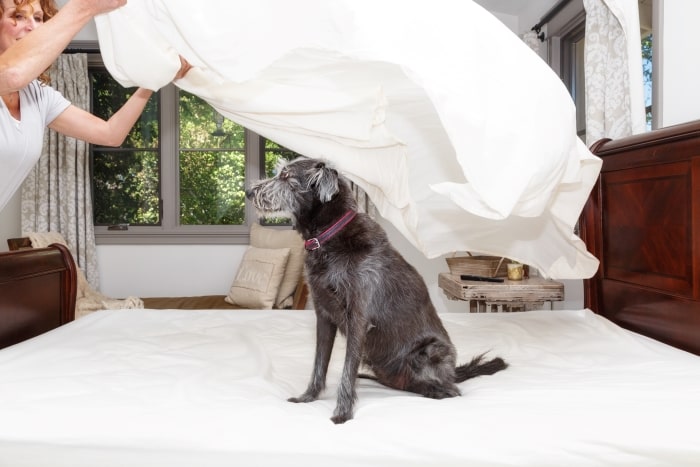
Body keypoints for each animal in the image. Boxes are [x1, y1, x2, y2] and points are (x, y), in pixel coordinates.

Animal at [245, 158, 504, 424]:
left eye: (286, 176)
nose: (249, 192)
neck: (330, 237)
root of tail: (453, 372)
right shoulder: (324, 316)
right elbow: (319, 363)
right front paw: (308, 397)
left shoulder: (358, 319)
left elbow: (347, 370)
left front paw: (342, 413)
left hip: (430, 351)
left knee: (452, 390)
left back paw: (435, 390)